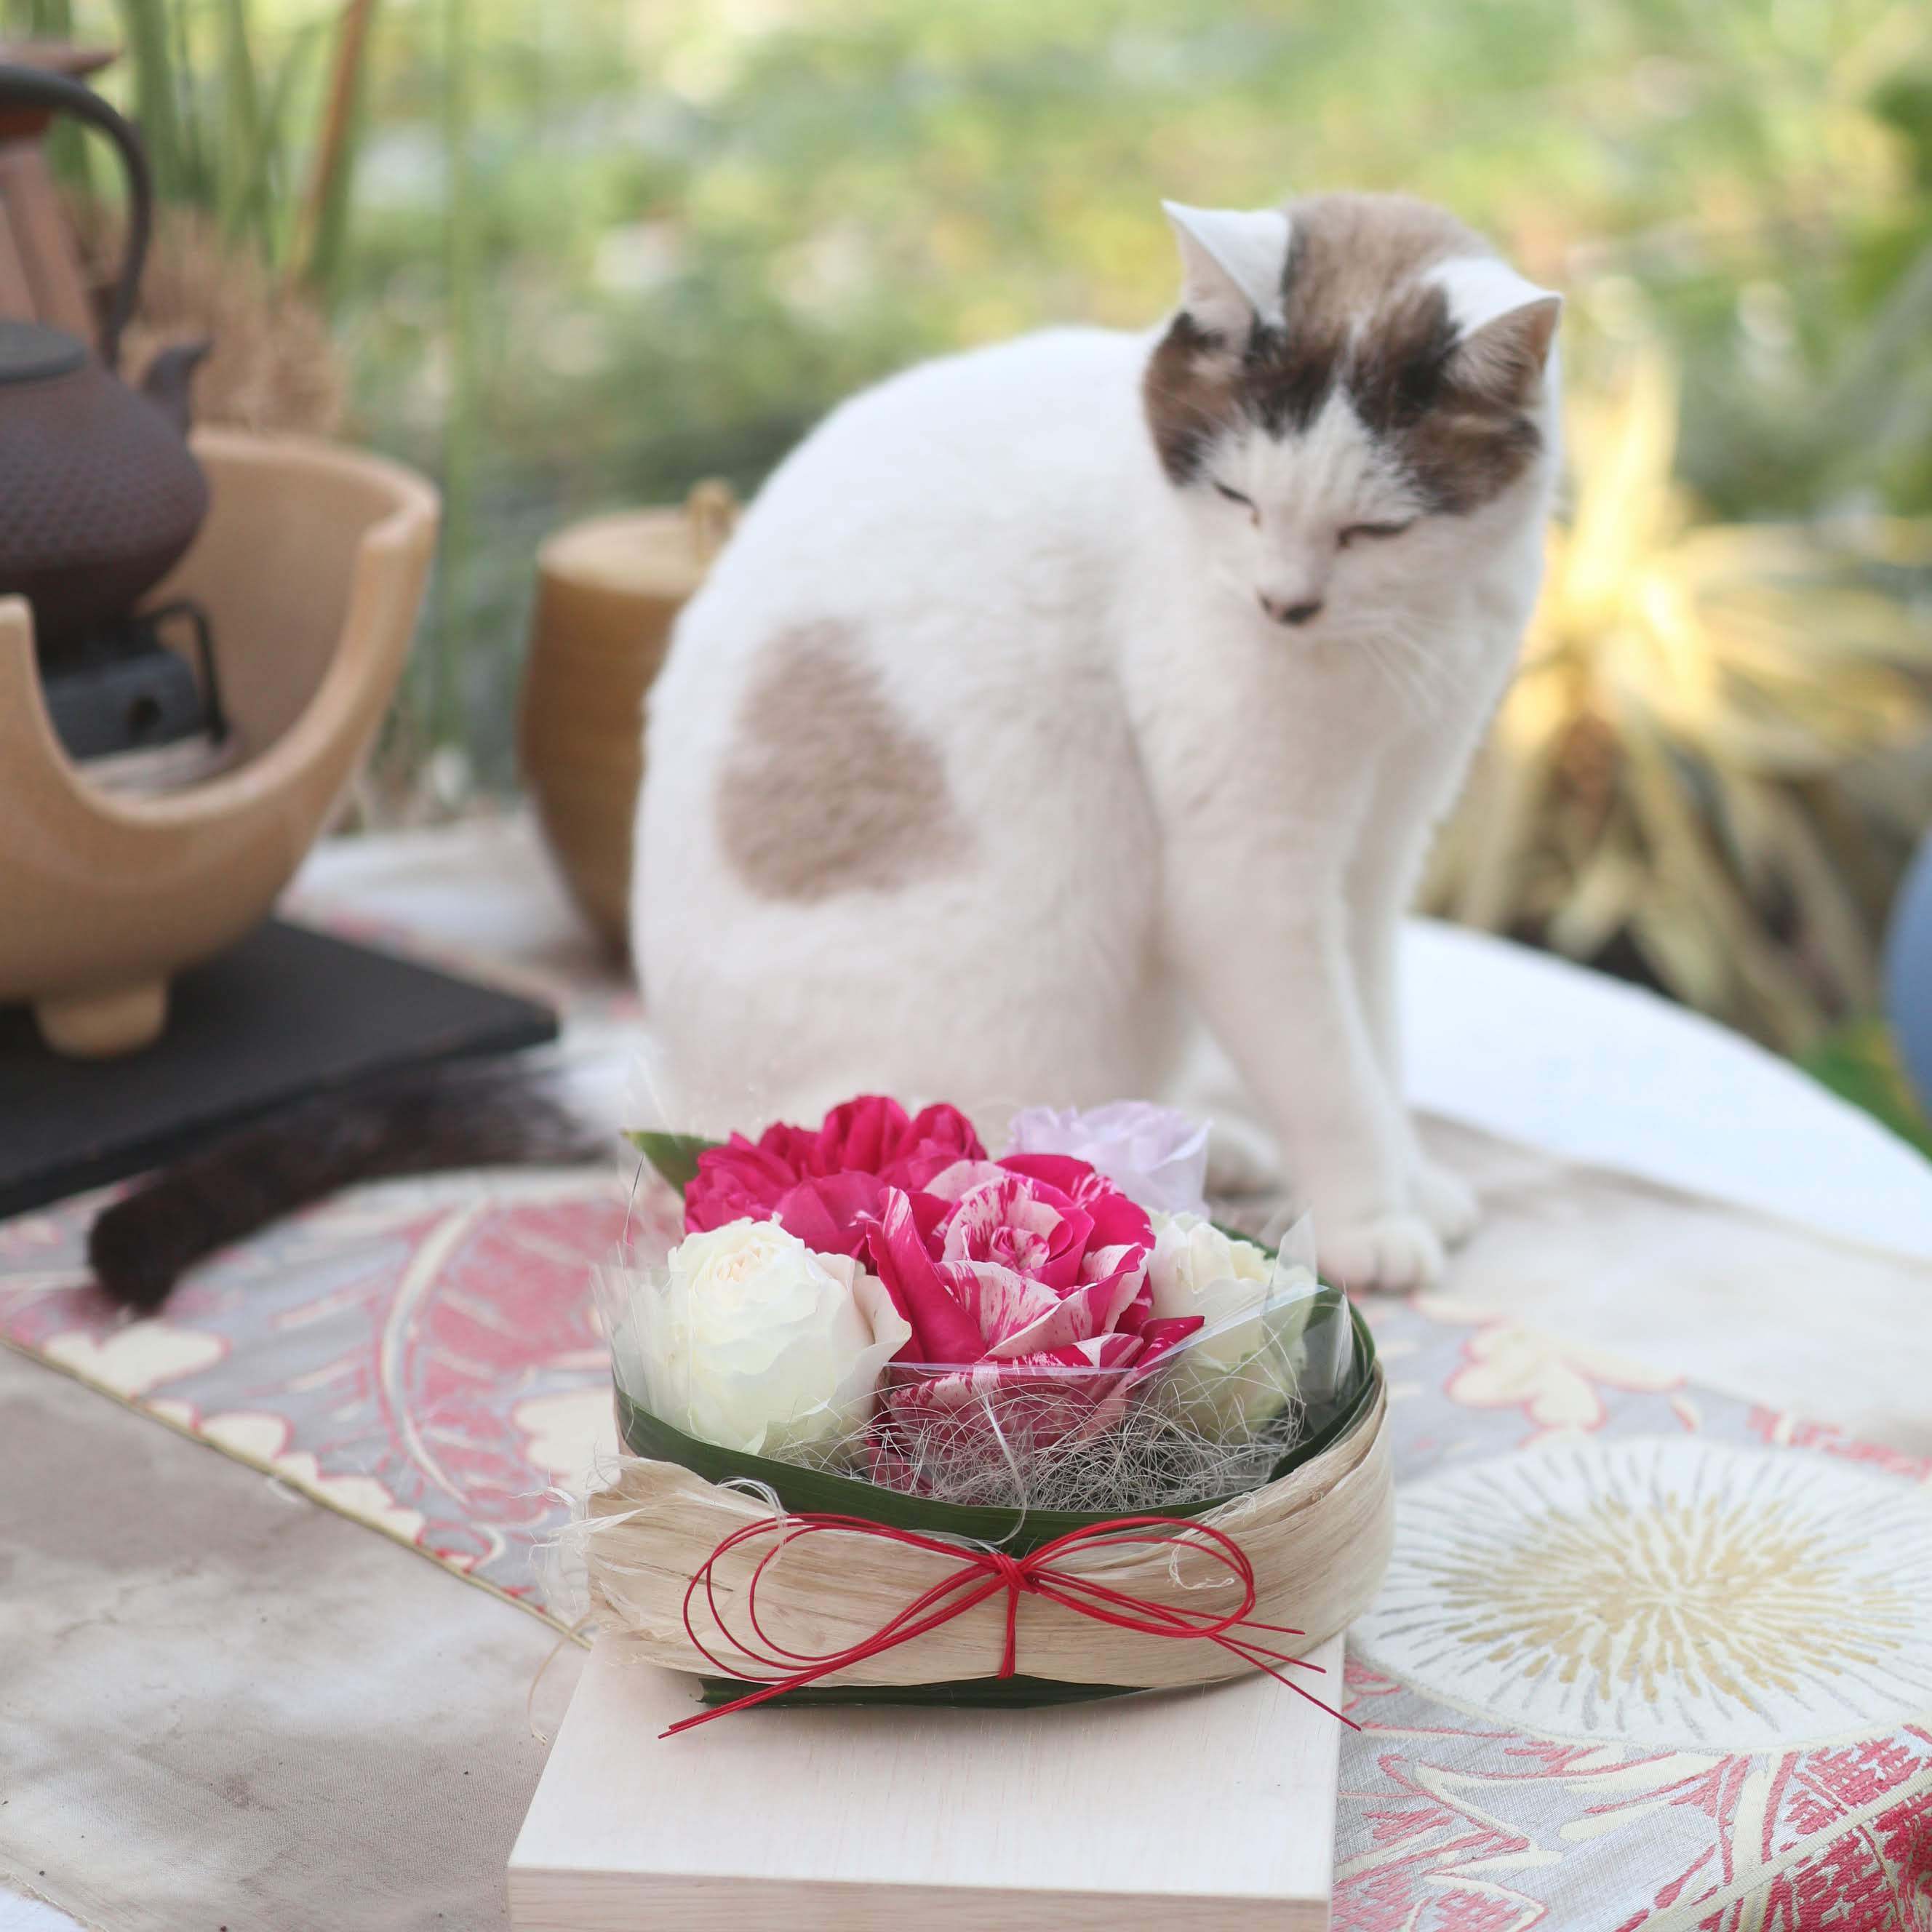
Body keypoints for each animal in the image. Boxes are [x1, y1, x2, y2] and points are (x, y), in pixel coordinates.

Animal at [633, 192, 1562, 1291]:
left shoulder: (1380, 850)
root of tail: (679, 1083)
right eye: (1240, 500)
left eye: (1375, 530)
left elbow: (1373, 1036)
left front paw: (1412, 1183)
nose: (1282, 604)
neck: (1405, 635)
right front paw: (1373, 1219)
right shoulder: (1247, 880)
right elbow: (1331, 1072)